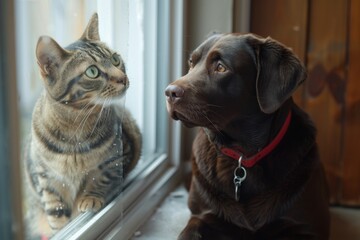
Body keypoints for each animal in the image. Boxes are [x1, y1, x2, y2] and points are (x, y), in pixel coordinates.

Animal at [23, 13, 141, 238]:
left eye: (115, 59)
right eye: (92, 71)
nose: (123, 78)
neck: (75, 126)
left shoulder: (122, 154)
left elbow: (103, 176)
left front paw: (90, 197)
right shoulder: (45, 176)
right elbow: (55, 207)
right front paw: (60, 226)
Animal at [165, 32, 330, 239]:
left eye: (221, 67)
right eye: (191, 63)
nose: (169, 92)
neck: (243, 155)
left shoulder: (307, 227)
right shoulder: (201, 216)